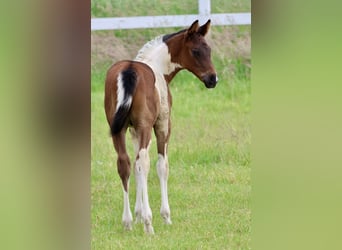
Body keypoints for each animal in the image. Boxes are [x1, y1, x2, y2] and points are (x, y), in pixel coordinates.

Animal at [103, 20, 219, 234]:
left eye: (209, 50)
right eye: (196, 51)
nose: (213, 79)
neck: (158, 68)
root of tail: (128, 70)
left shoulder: (134, 130)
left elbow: (136, 164)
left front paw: (138, 214)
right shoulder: (162, 125)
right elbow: (161, 166)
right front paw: (164, 216)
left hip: (118, 129)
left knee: (125, 163)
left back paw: (128, 222)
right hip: (146, 127)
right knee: (143, 163)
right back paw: (149, 225)